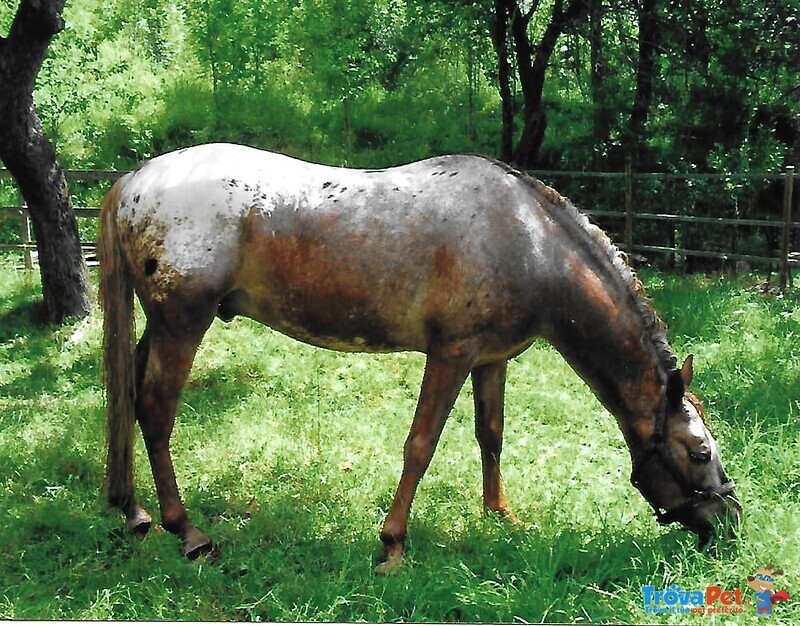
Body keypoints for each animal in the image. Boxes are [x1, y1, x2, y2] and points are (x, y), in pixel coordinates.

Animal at [100, 143, 744, 572]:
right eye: (699, 451)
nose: (731, 522)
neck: (529, 241)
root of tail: (134, 181)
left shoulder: (491, 360)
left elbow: (491, 435)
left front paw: (500, 515)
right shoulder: (451, 353)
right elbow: (421, 446)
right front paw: (393, 546)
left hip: (159, 327)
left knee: (128, 397)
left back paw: (133, 513)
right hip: (183, 325)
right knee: (155, 410)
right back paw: (187, 531)